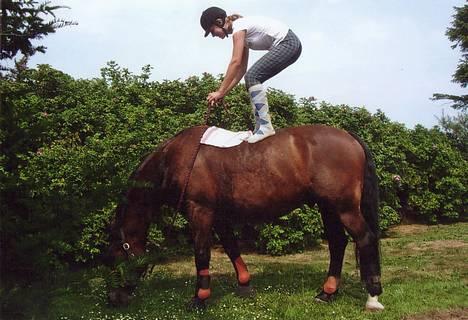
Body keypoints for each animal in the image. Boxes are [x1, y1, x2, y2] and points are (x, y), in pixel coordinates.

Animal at [106, 124, 384, 310]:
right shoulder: (219, 216)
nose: (114, 299)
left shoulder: (200, 211)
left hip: (344, 208)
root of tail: (349, 136)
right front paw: (244, 284)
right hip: (328, 208)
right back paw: (327, 293)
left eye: (116, 256)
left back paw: (372, 296)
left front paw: (199, 298)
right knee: (338, 244)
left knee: (366, 238)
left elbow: (201, 253)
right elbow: (231, 247)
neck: (177, 158)